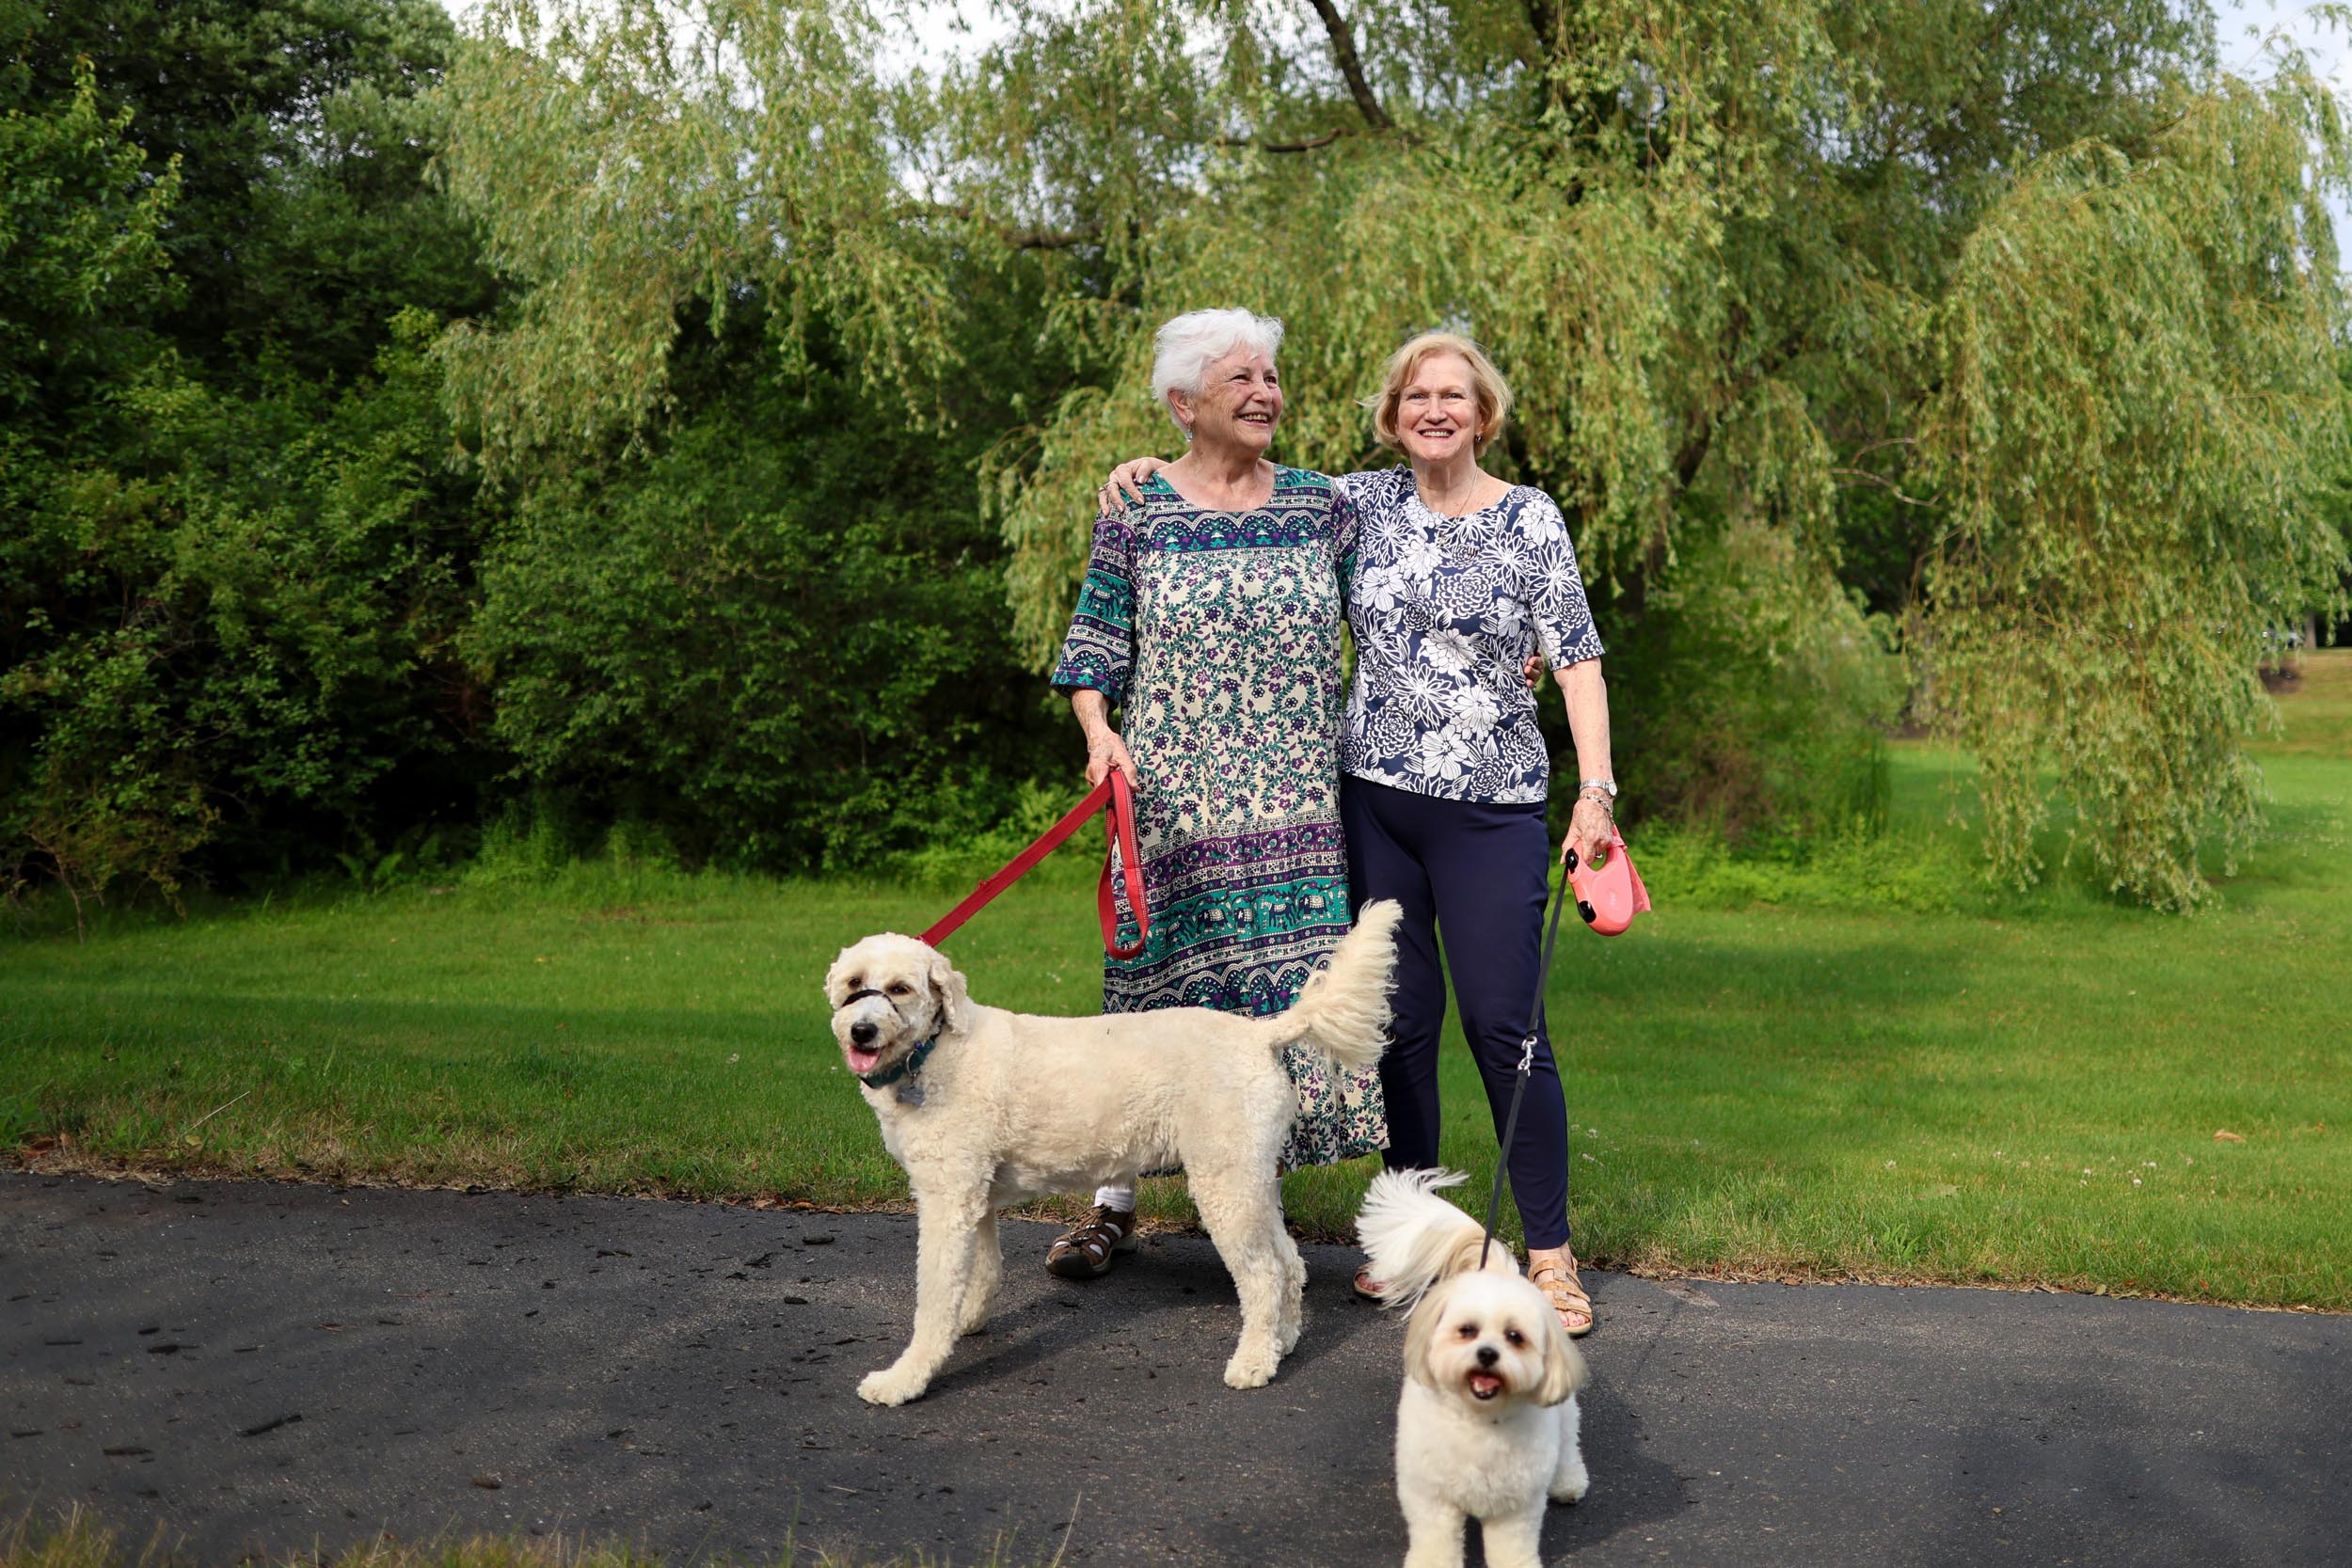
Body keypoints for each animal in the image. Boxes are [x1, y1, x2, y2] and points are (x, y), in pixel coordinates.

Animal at [823, 902, 1392, 1401]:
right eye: (854, 984)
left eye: (900, 989)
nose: (862, 1030)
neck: (938, 1051)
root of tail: (1259, 1034)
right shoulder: (974, 1199)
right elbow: (981, 1272)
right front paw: (969, 1323)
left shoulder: (946, 1201)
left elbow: (934, 1295)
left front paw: (906, 1379)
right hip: (1249, 1180)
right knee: (1289, 1263)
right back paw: (1283, 1342)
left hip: (1224, 1185)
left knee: (1264, 1275)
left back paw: (1253, 1363)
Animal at [1355, 1170, 1590, 1560]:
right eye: (1467, 1330)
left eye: (1515, 1336)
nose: (1488, 1354)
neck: (1480, 1421)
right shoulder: (1432, 1499)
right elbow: (1436, 1544)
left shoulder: (1515, 1508)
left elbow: (1512, 1551)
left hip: (1563, 1415)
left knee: (1569, 1440)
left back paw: (1568, 1482)